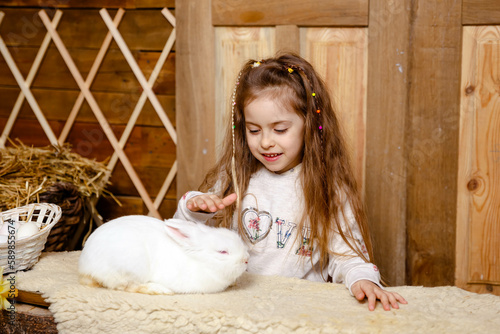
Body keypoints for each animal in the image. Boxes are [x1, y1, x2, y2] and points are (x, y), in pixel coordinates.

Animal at [78, 215, 248, 294]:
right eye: (223, 251)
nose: (246, 259)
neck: (200, 262)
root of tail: (86, 267)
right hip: (130, 268)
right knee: (128, 286)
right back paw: (159, 290)